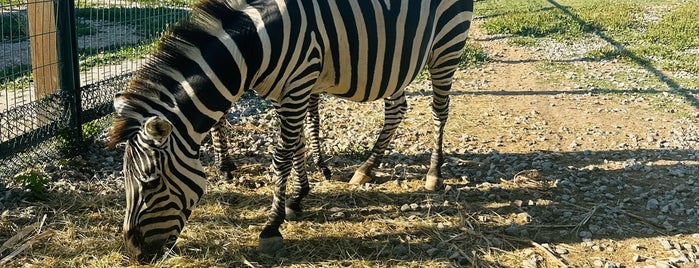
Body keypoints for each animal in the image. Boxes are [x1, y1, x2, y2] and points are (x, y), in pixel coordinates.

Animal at [106, 0, 474, 262]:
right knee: (397, 109)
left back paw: (433, 175)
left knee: (440, 111)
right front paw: (298, 198)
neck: (254, 46)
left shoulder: (298, 84)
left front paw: (272, 226)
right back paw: (367, 170)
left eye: (151, 184)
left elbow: (281, 156)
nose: (134, 254)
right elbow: (296, 145)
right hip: (395, 63)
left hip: (447, 45)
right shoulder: (284, 92)